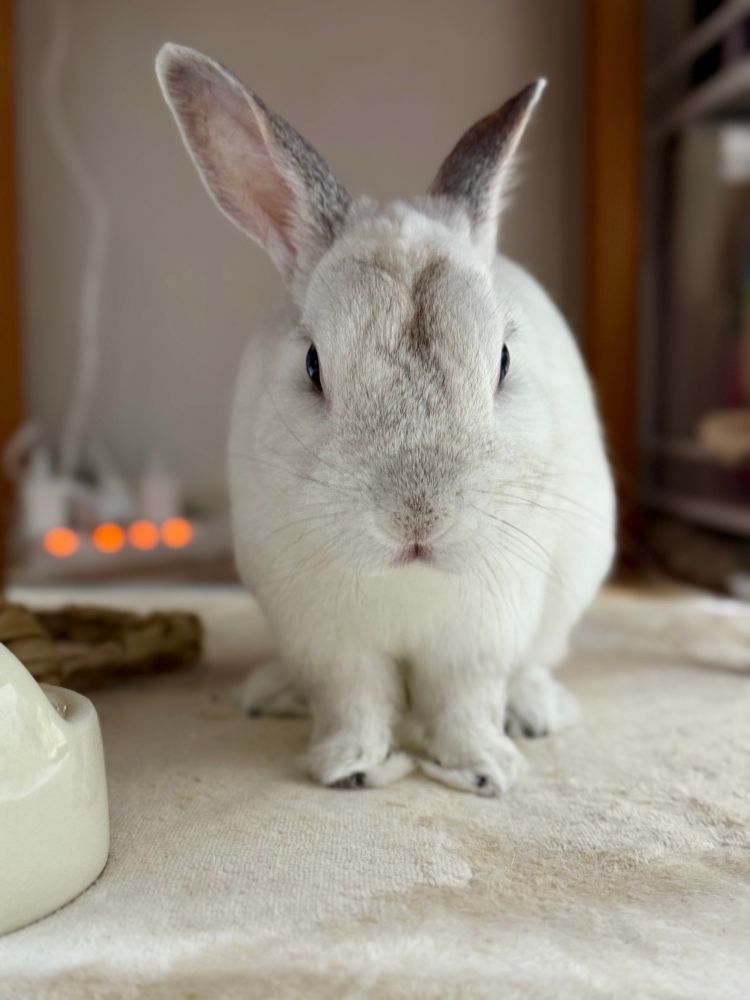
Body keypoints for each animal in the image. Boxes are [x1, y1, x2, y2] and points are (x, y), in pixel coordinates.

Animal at [156, 44, 616, 796]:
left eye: (503, 360)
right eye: (313, 364)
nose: (417, 520)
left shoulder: (479, 638)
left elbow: (465, 703)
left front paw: (485, 771)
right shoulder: (331, 641)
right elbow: (355, 700)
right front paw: (350, 767)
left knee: (530, 668)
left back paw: (535, 712)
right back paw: (272, 694)